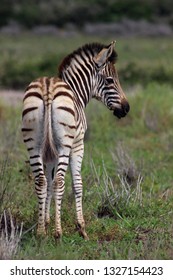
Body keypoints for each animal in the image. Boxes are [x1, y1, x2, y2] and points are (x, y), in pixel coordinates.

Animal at [21, 41, 130, 241]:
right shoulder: (78, 144)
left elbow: (49, 181)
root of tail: (48, 87)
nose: (126, 109)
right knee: (59, 181)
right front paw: (81, 227)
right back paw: (58, 233)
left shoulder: (50, 153)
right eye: (110, 81)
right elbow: (77, 184)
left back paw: (40, 233)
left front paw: (45, 221)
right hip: (65, 145)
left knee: (41, 181)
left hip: (33, 144)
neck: (76, 93)